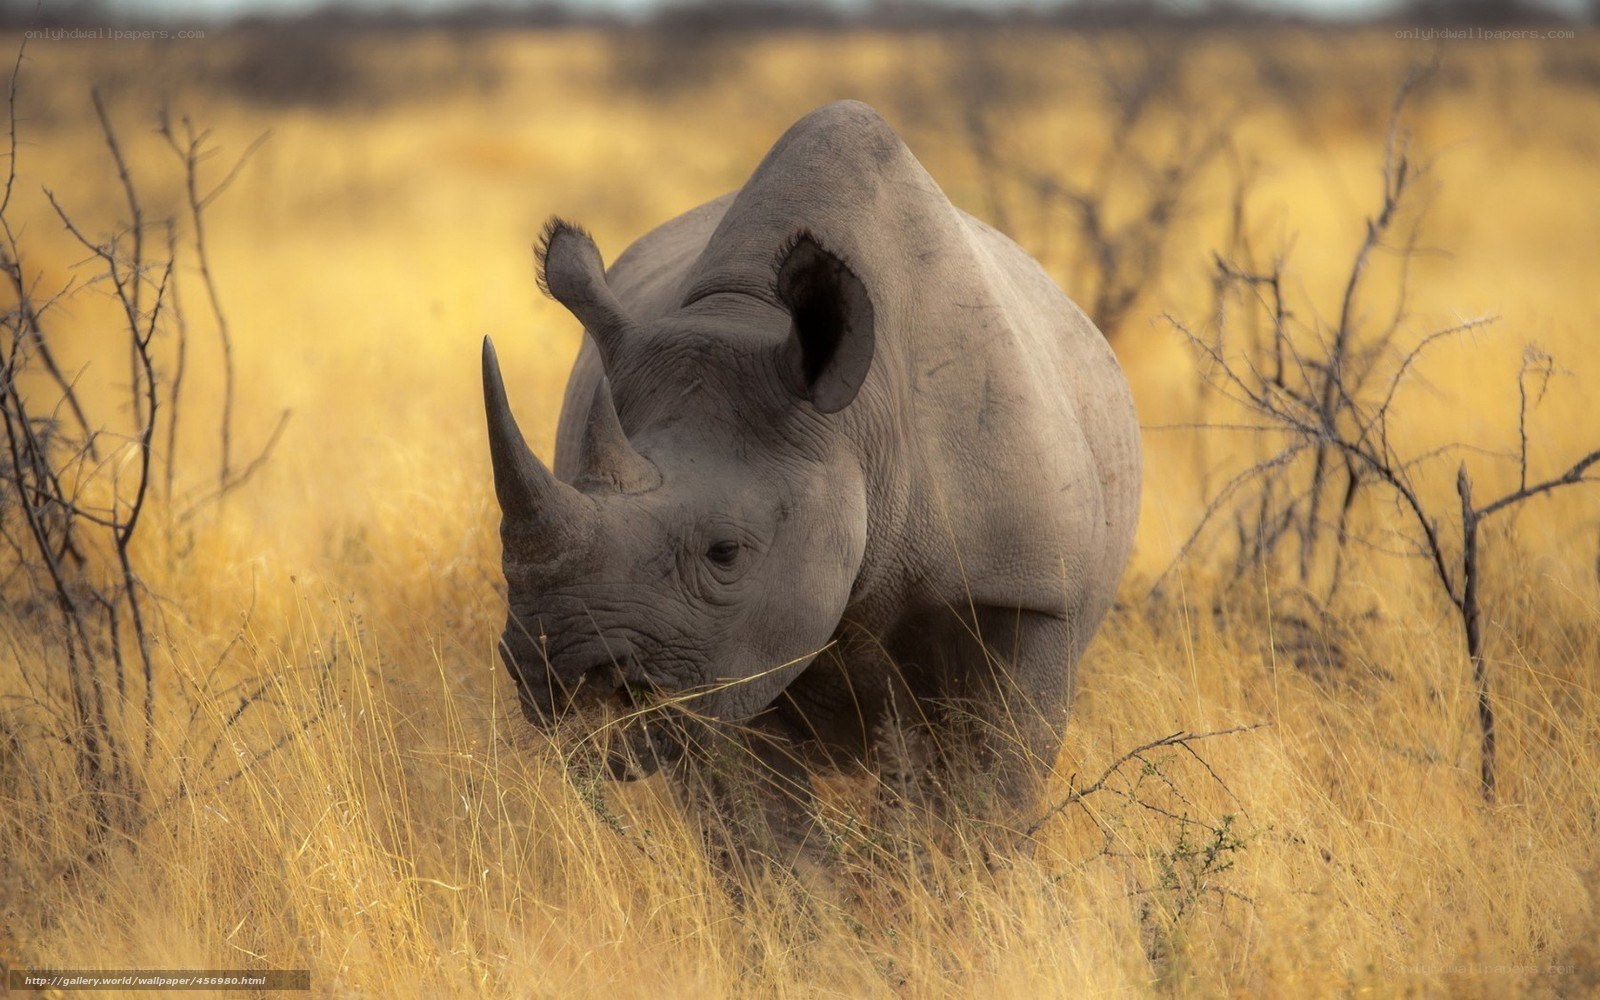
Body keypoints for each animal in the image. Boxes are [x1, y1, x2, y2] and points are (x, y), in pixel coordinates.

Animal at [483, 100, 1140, 851]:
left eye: (726, 552)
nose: (556, 678)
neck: (860, 429)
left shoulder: (1027, 585)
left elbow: (986, 792)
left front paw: (947, 879)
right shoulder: (727, 658)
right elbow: (766, 838)